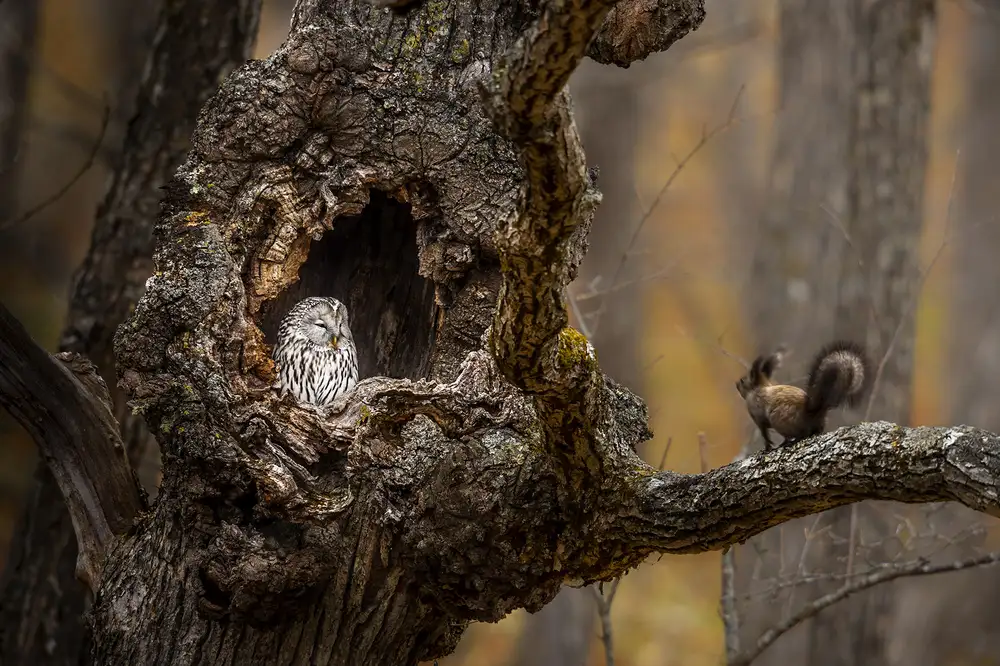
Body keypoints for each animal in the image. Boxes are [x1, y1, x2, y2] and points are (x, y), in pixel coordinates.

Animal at [735, 340, 872, 451]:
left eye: (742, 381)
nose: (736, 384)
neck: (758, 389)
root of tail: (813, 413)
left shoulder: (757, 416)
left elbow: (764, 434)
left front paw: (767, 447)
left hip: (779, 419)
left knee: (801, 434)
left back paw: (790, 441)